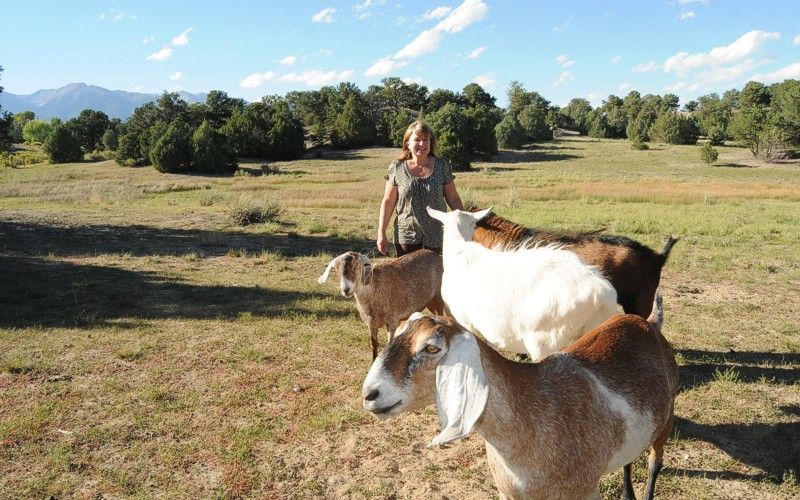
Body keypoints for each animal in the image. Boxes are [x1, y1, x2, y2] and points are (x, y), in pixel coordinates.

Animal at [317, 249, 446, 360]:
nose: (346, 289)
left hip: (438, 297)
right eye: (337, 269)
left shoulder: (392, 322)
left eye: (356, 266)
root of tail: (436, 255)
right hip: (430, 302)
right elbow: (374, 344)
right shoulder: (371, 324)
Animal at [362, 298, 678, 499]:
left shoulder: (585, 490)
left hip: (667, 416)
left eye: (431, 348)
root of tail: (650, 322)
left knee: (655, 461)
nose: (370, 394)